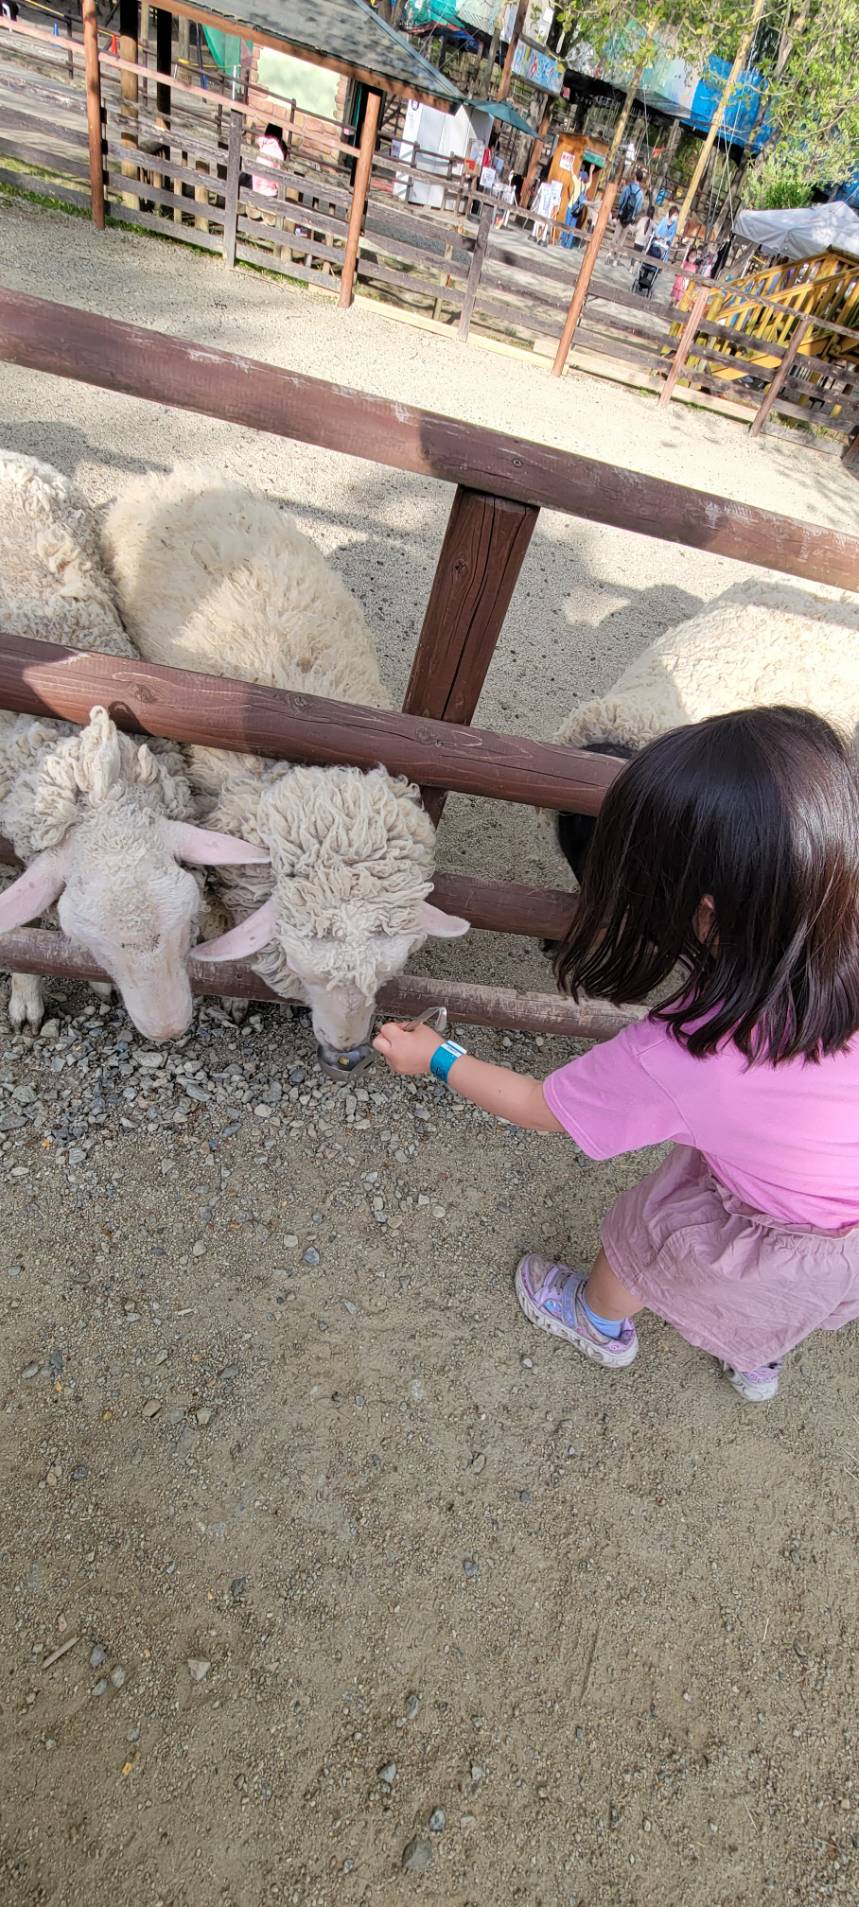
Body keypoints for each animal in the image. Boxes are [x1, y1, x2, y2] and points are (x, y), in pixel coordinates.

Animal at [0, 451, 267, 1037]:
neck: (95, 781)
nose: (168, 1030)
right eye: (90, 942)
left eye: (187, 922)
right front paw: (28, 996)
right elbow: (17, 929)